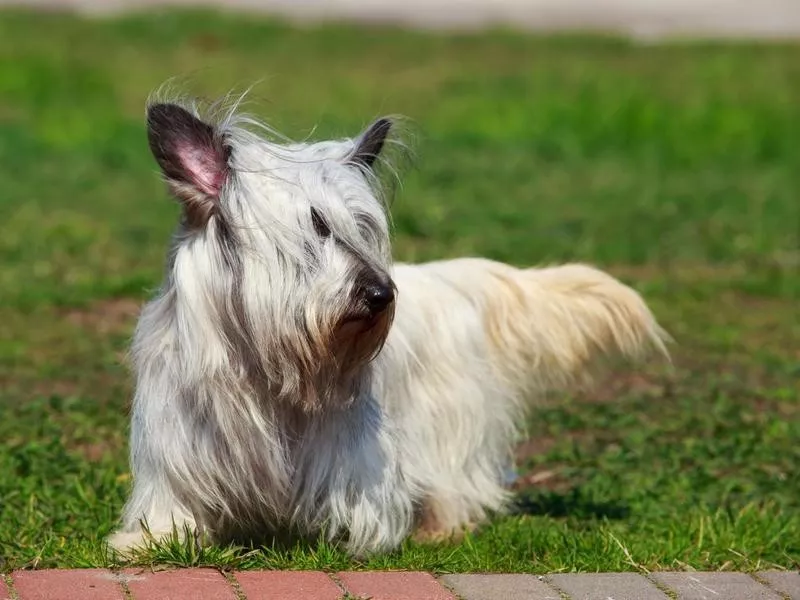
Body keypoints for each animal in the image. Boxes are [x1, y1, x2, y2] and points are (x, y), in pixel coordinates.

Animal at [108, 95, 668, 556]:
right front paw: (151, 540)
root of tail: (448, 278)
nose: (381, 294)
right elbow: (174, 503)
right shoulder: (180, 443)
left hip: (447, 424)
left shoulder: (352, 451)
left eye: (362, 228)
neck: (265, 368)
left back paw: (439, 526)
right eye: (316, 227)